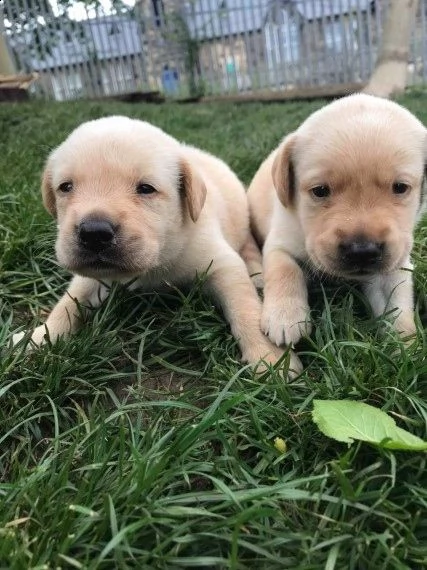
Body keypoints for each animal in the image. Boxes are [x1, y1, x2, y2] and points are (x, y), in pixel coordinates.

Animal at [12, 115, 300, 370]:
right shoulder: (92, 277)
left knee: (248, 244)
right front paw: (39, 338)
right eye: (66, 187)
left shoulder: (221, 262)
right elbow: (68, 303)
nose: (94, 233)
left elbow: (245, 307)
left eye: (146, 189)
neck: (155, 261)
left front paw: (270, 357)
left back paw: (257, 272)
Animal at [249, 93, 426, 346]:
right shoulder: (280, 241)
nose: (362, 251)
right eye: (320, 190)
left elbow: (397, 307)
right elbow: (284, 268)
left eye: (400, 187)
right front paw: (284, 316)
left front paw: (406, 346)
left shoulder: (395, 264)